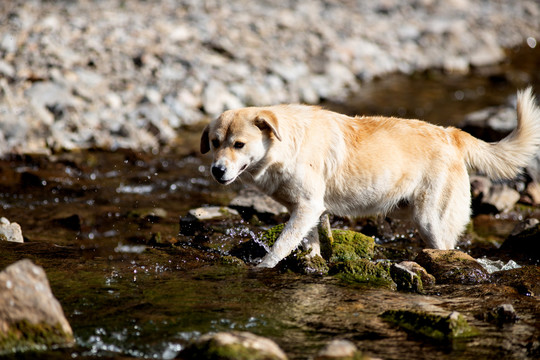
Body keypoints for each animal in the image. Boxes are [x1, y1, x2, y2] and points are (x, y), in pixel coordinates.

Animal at [200, 87, 540, 268]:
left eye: (239, 144)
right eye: (215, 143)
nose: (217, 170)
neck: (286, 146)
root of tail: (451, 134)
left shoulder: (307, 207)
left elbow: (281, 245)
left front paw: (262, 268)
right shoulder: (309, 210)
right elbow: (310, 241)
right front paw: (312, 261)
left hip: (430, 219)